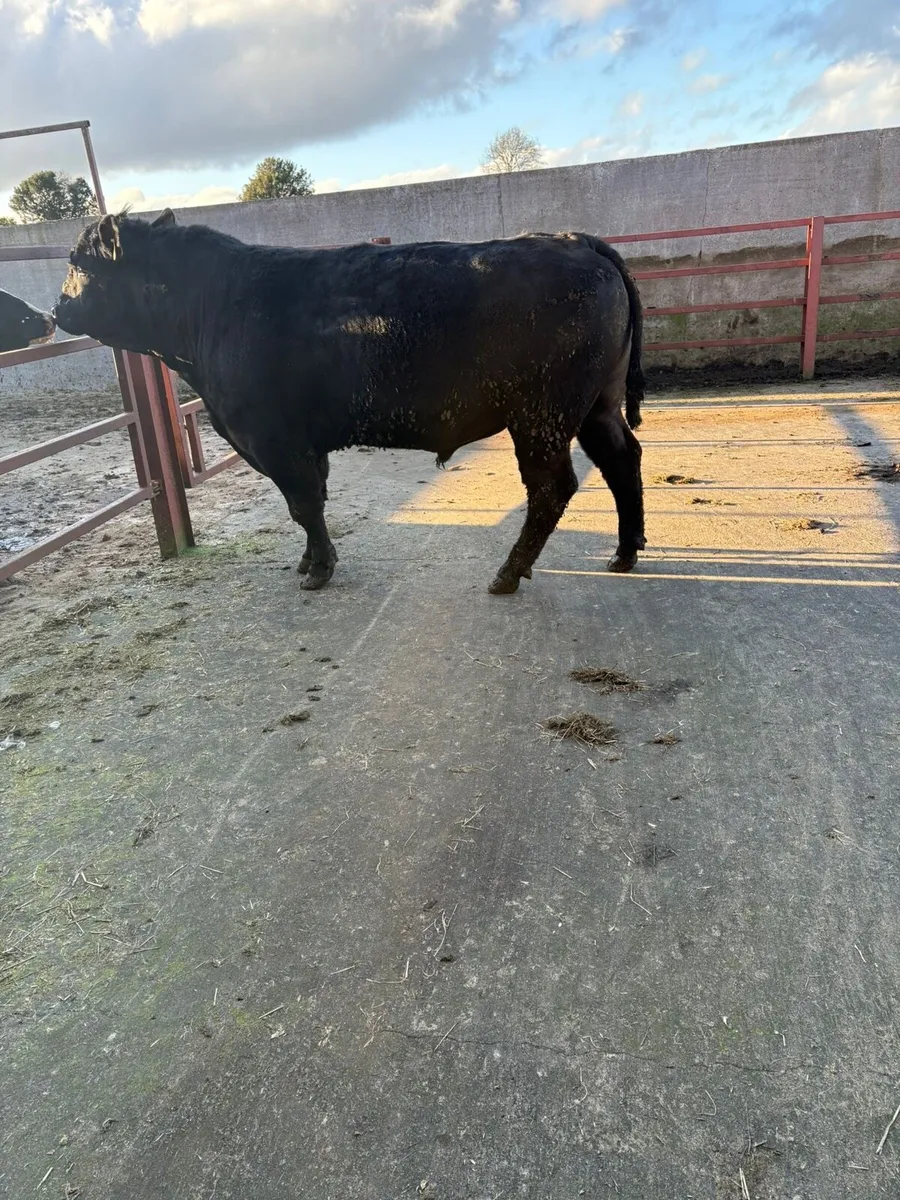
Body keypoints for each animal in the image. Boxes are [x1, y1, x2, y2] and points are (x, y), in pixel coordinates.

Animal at [53, 210, 646, 594]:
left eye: (80, 264)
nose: (57, 310)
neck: (213, 306)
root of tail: (571, 239)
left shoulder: (275, 439)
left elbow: (303, 504)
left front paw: (318, 570)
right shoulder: (304, 442)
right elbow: (310, 502)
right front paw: (308, 561)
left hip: (542, 417)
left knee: (552, 487)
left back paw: (507, 574)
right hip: (596, 405)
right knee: (622, 458)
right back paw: (625, 551)